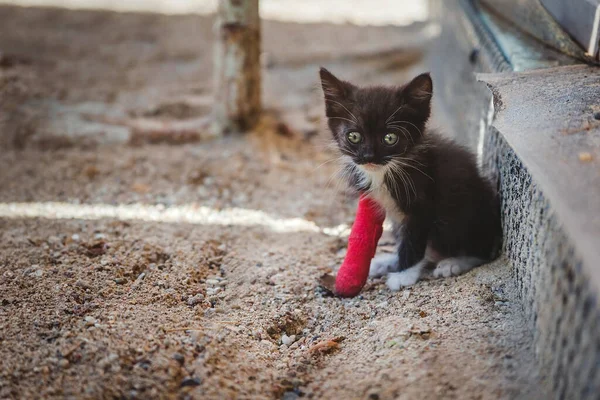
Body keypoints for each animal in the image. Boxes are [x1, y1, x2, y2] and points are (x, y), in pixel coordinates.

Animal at [318, 67, 502, 290]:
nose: (369, 156)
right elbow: (404, 240)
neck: (385, 171)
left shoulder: (423, 204)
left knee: (481, 249)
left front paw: (404, 274)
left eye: (390, 138)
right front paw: (397, 266)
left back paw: (454, 262)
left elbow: (413, 241)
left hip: (466, 213)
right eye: (354, 136)